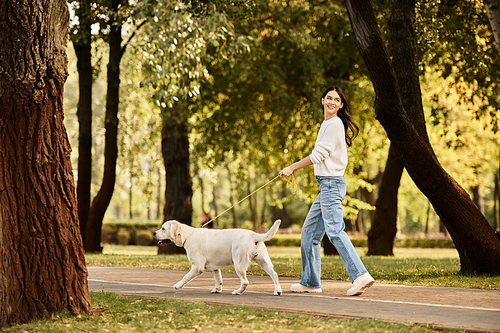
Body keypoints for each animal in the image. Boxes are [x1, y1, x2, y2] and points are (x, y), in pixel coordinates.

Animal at [153, 219, 282, 294]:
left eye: (163, 228)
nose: (153, 233)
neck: (188, 235)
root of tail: (254, 235)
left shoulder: (197, 267)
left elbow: (185, 277)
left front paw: (177, 285)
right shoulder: (215, 267)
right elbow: (218, 279)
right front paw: (217, 289)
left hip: (239, 264)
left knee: (245, 282)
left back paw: (238, 291)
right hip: (263, 261)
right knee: (274, 274)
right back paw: (278, 291)